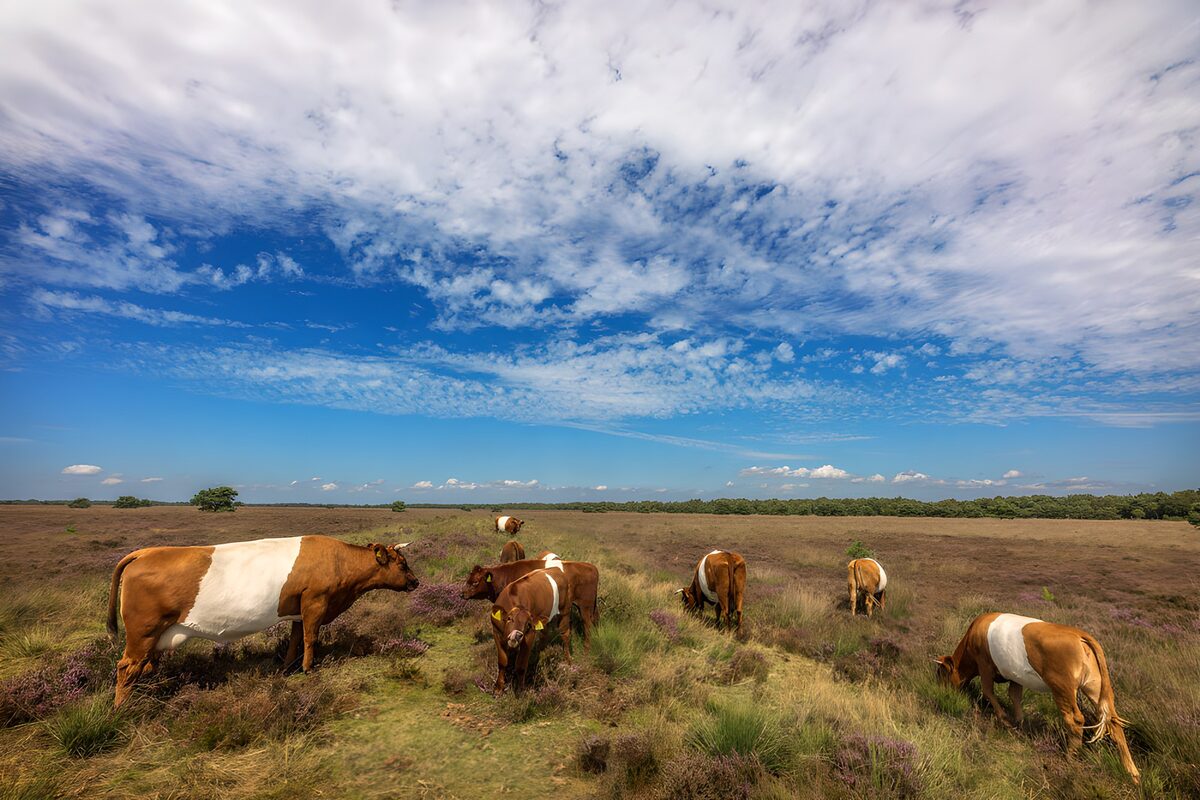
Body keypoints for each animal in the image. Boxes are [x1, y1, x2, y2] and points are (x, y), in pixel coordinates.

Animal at [106, 536, 417, 707]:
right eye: (402, 564)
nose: (416, 582)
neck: (340, 562)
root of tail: (145, 552)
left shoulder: (298, 609)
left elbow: (294, 639)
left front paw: (287, 668)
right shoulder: (315, 602)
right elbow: (310, 638)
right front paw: (308, 670)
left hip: (154, 637)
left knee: (145, 666)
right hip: (143, 631)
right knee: (126, 667)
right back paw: (123, 708)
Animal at [461, 555, 599, 645]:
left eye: (475, 582)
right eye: (468, 579)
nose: (462, 593)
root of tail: (591, 566)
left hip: (585, 606)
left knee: (587, 625)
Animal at [935, 612, 1139, 783]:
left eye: (942, 674)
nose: (941, 691)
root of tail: (1079, 635)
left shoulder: (984, 664)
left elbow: (988, 691)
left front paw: (1005, 719)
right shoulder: (1015, 675)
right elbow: (1015, 696)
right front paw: (1019, 721)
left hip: (1062, 688)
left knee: (1075, 719)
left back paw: (1070, 757)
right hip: (1096, 687)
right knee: (1114, 722)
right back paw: (1132, 772)